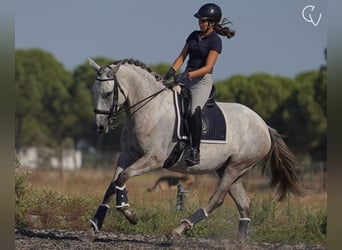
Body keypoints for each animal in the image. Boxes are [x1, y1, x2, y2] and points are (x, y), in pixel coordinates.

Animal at [87, 58, 304, 240]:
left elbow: (122, 178)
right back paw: (241, 241)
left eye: (107, 93)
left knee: (217, 199)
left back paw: (179, 229)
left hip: (236, 166)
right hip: (228, 169)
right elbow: (113, 184)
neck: (150, 108)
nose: (100, 127)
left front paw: (130, 214)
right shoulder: (126, 156)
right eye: (94, 92)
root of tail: (263, 126)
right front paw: (94, 224)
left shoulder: (154, 159)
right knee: (244, 204)